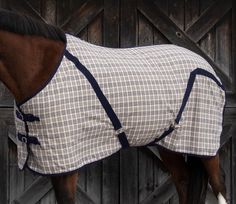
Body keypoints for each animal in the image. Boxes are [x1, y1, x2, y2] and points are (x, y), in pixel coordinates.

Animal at [0, 8, 227, 203]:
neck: (44, 69)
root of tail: (207, 67)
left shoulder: (66, 162)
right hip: (169, 142)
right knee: (184, 182)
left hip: (205, 143)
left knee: (219, 186)